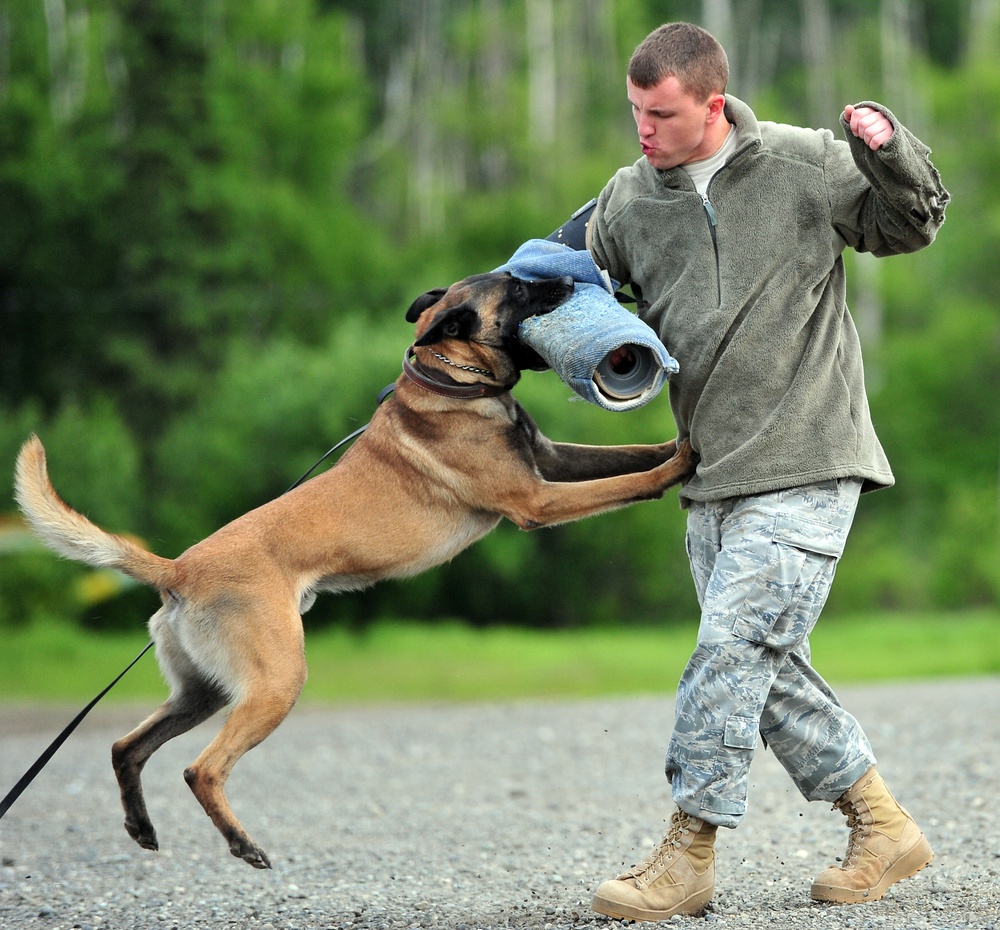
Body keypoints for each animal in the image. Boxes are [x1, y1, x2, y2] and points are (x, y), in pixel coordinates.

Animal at [13, 272, 696, 868]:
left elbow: (629, 454)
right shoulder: (537, 500)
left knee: (125, 747)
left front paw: (674, 441)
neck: (450, 380)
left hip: (203, 691)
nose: (578, 281)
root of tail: (177, 569)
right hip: (275, 683)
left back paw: (142, 826)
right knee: (199, 769)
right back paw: (242, 844)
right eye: (519, 287)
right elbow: (627, 481)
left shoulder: (552, 461)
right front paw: (680, 463)